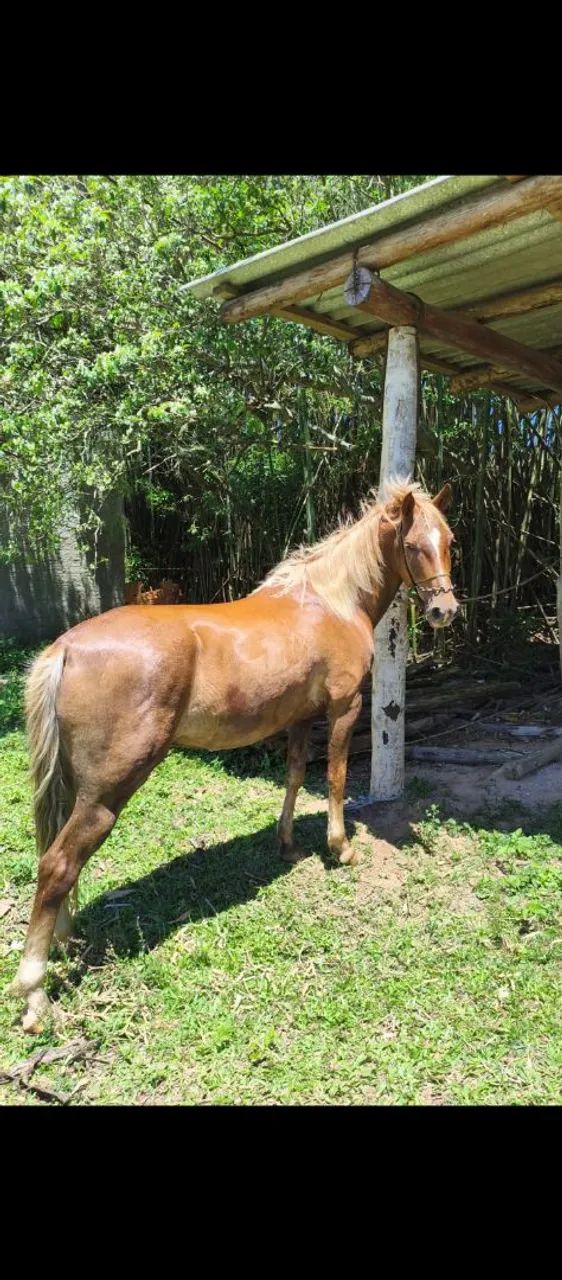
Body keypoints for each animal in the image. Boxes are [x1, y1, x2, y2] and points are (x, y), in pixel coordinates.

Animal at [10, 477, 458, 1032]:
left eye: (450, 542)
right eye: (414, 545)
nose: (445, 611)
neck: (330, 602)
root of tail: (65, 649)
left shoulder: (300, 720)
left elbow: (294, 776)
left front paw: (288, 844)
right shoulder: (344, 709)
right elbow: (334, 778)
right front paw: (341, 848)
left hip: (76, 788)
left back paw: (63, 939)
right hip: (107, 793)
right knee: (57, 865)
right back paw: (34, 995)